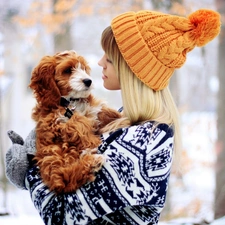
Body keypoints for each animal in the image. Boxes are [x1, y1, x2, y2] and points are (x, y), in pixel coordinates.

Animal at [30, 50, 122, 193]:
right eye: (68, 70)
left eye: (83, 68)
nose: (88, 81)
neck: (72, 102)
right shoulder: (59, 121)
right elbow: (79, 125)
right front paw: (95, 142)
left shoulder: (93, 110)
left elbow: (104, 111)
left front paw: (121, 116)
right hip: (58, 155)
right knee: (68, 176)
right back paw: (93, 160)